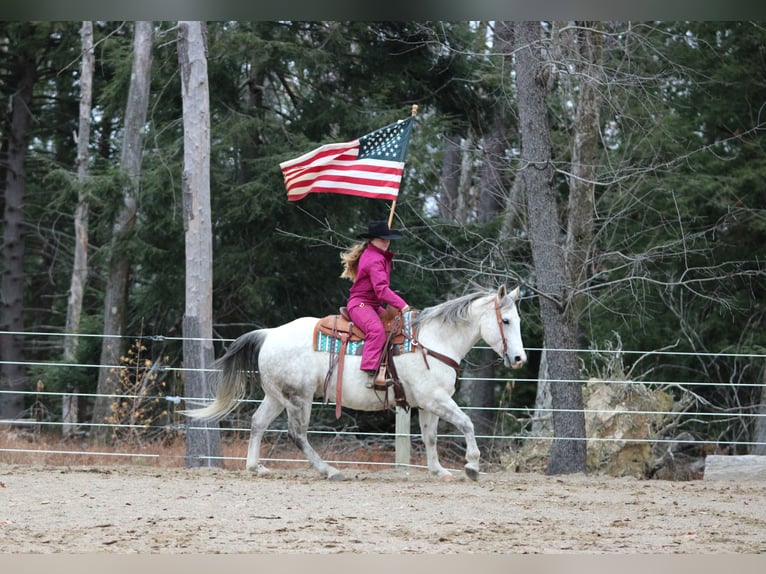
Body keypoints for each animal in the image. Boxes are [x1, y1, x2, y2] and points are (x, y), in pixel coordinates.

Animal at [184, 285, 526, 481]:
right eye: (506, 320)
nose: (520, 358)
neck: (432, 341)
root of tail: (269, 333)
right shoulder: (436, 400)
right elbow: (467, 423)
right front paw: (472, 466)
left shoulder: (428, 404)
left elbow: (430, 437)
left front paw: (438, 470)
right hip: (298, 399)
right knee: (297, 434)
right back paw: (329, 470)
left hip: (277, 396)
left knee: (257, 423)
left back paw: (256, 467)